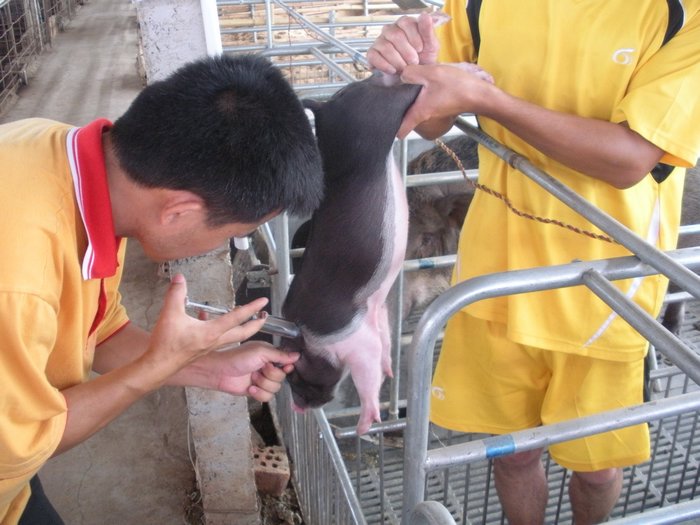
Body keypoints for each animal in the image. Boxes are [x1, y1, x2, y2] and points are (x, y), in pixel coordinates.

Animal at [281, 75, 421, 434]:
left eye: (297, 378)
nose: (298, 406)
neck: (308, 336)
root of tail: (327, 103)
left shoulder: (353, 341)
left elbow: (367, 373)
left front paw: (364, 426)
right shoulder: (376, 315)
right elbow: (385, 346)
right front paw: (390, 371)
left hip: (373, 117)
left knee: (410, 90)